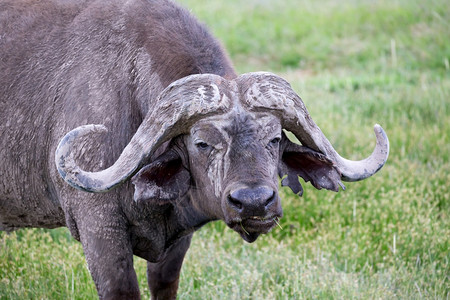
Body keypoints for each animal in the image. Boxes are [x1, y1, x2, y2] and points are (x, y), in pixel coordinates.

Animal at [0, 0, 388, 298]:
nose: (254, 202)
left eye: (275, 139)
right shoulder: (99, 232)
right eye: (202, 143)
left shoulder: (177, 242)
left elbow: (165, 285)